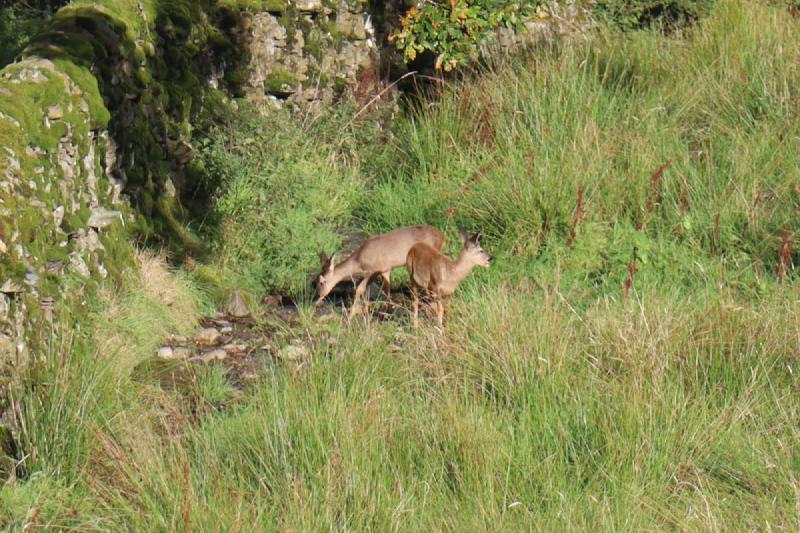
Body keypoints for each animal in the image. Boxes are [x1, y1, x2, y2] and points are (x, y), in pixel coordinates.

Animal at [316, 225, 445, 319]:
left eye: (322, 282)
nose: (318, 297)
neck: (359, 261)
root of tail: (441, 235)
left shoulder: (374, 270)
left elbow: (359, 289)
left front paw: (350, 315)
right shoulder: (384, 270)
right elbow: (386, 289)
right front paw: (388, 308)